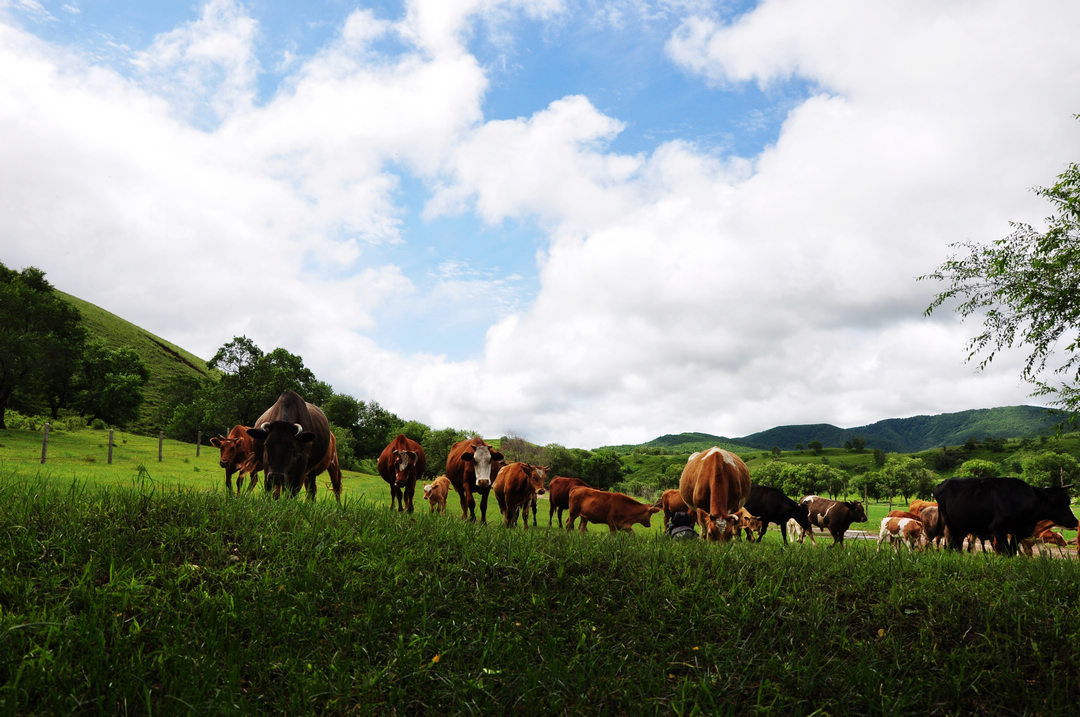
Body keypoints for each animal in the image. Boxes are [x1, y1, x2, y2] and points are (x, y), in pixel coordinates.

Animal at [933, 479, 1075, 557]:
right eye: (1056, 502)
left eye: (1068, 501)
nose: (1075, 521)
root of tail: (942, 483)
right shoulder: (998, 529)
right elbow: (1005, 551)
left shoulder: (1017, 532)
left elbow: (1012, 551)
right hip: (951, 523)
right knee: (954, 542)